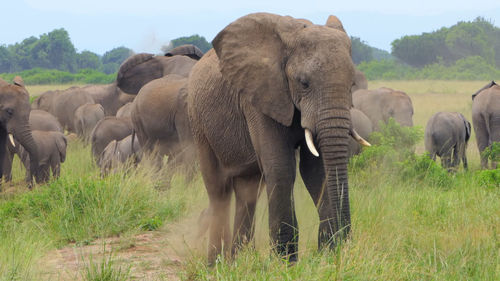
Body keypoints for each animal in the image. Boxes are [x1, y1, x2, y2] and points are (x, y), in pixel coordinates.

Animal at [186, 13, 370, 262]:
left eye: (352, 84)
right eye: (304, 83)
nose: (344, 243)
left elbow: (315, 171)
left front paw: (327, 255)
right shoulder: (260, 95)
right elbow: (281, 168)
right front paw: (285, 262)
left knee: (248, 191)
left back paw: (239, 260)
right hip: (198, 121)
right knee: (218, 189)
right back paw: (216, 263)